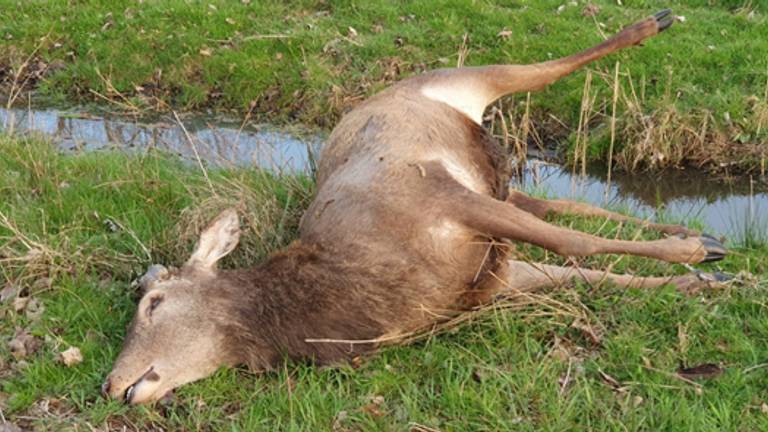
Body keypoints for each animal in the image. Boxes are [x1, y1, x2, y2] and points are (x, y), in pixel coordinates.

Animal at [103, 11, 732, 406]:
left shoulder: (437, 195)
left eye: (153, 303)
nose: (111, 385)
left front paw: (696, 253)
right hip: (500, 181)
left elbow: (574, 246)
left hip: (471, 83)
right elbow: (588, 272)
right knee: (564, 200)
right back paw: (683, 226)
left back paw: (654, 23)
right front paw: (704, 277)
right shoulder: (490, 279)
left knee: (544, 71)